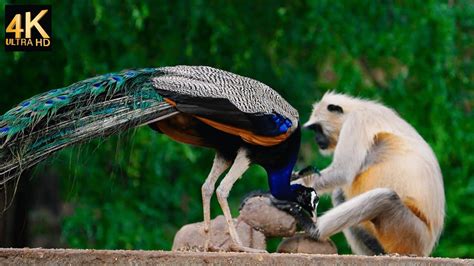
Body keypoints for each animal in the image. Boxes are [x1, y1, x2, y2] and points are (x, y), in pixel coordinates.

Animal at [274, 91, 444, 256]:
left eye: (317, 129)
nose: (317, 139)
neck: (356, 108)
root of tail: (426, 247)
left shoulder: (357, 121)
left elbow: (343, 172)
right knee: (340, 194)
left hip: (412, 233)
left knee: (385, 198)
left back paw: (313, 229)